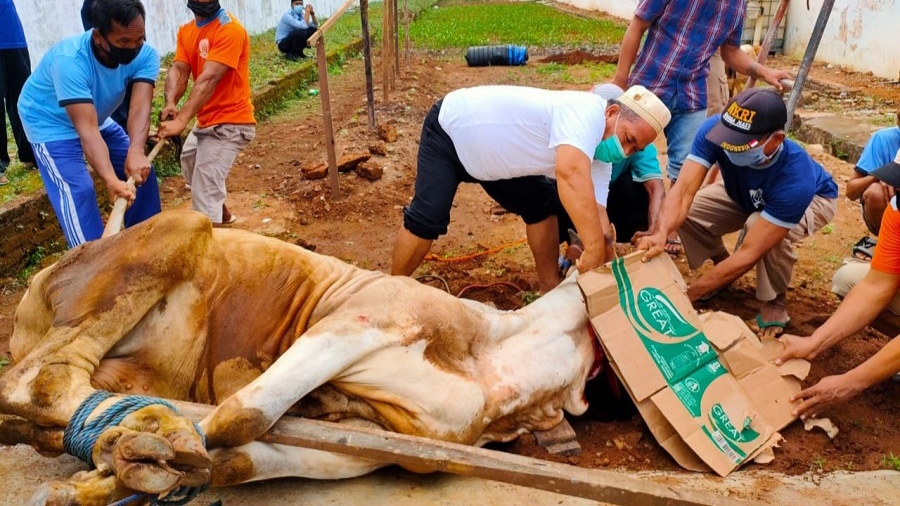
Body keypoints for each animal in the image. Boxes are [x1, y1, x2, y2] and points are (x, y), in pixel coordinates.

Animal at [1, 210, 604, 502]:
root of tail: (34, 286)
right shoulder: (360, 320)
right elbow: (242, 416)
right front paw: (149, 452)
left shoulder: (373, 443)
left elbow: (237, 458)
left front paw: (116, 476)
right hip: (180, 225)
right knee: (37, 383)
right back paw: (143, 428)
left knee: (46, 407)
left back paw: (112, 437)